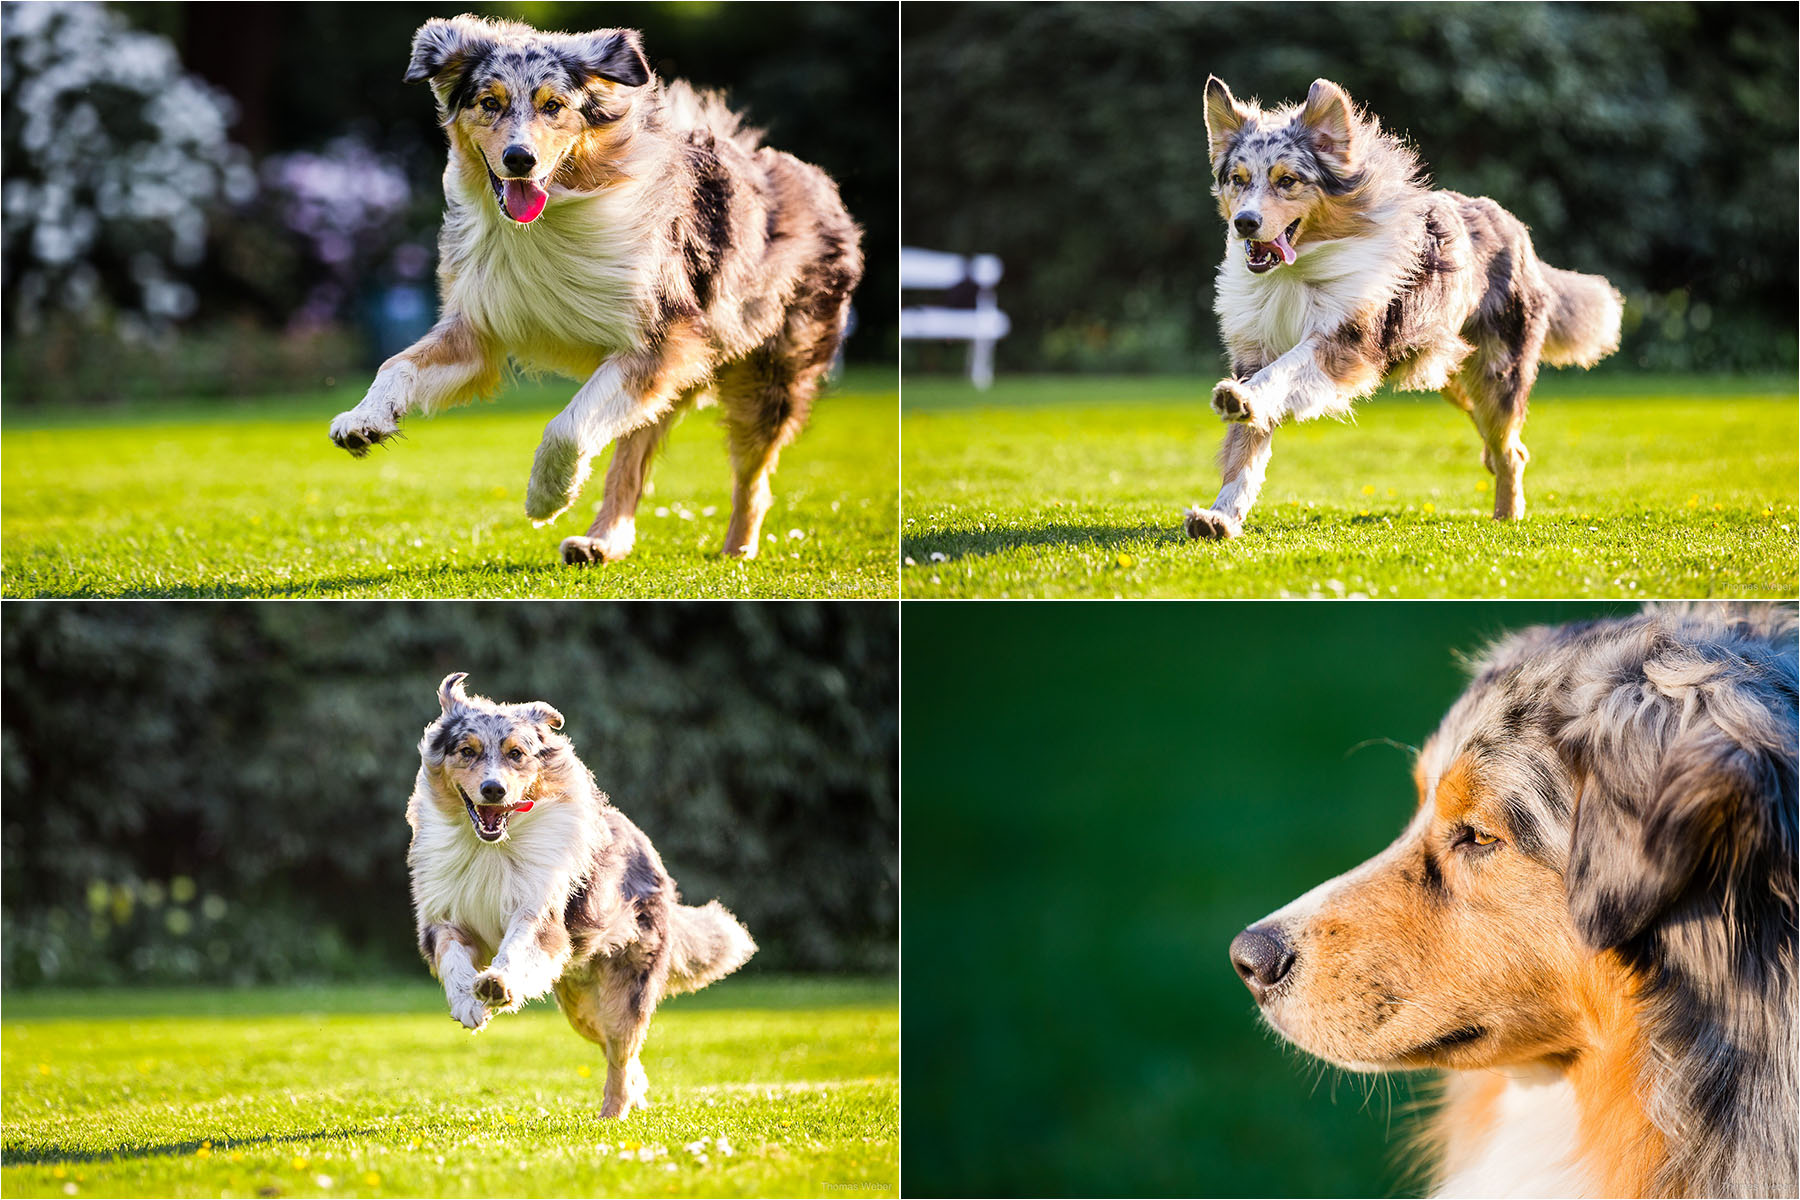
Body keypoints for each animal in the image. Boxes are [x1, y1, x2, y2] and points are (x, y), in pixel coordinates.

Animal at [331, 15, 864, 568]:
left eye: (553, 106)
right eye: (489, 102)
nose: (519, 159)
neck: (544, 224)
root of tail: (815, 181)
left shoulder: (660, 341)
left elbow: (567, 425)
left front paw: (546, 496)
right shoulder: (480, 327)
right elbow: (397, 364)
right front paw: (364, 418)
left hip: (765, 380)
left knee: (753, 478)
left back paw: (737, 549)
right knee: (631, 458)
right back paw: (602, 541)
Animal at [406, 676, 752, 1115]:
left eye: (516, 754)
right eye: (467, 751)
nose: (493, 789)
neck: (491, 847)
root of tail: (649, 850)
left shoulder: (540, 912)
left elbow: (515, 948)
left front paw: (497, 984)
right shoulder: (445, 917)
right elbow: (452, 959)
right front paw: (468, 1002)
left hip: (623, 990)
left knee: (621, 1052)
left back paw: (612, 1115)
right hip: (580, 1006)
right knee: (619, 1051)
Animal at [1188, 76, 1627, 539]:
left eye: (1287, 180)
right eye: (1238, 179)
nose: (1245, 223)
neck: (1294, 272)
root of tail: (1517, 231)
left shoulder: (1345, 341)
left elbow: (1284, 371)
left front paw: (1241, 400)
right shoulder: (1254, 350)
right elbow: (1245, 447)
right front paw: (1220, 516)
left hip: (1497, 373)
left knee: (1510, 449)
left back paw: (1507, 518)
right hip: (1454, 377)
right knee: (1504, 447)